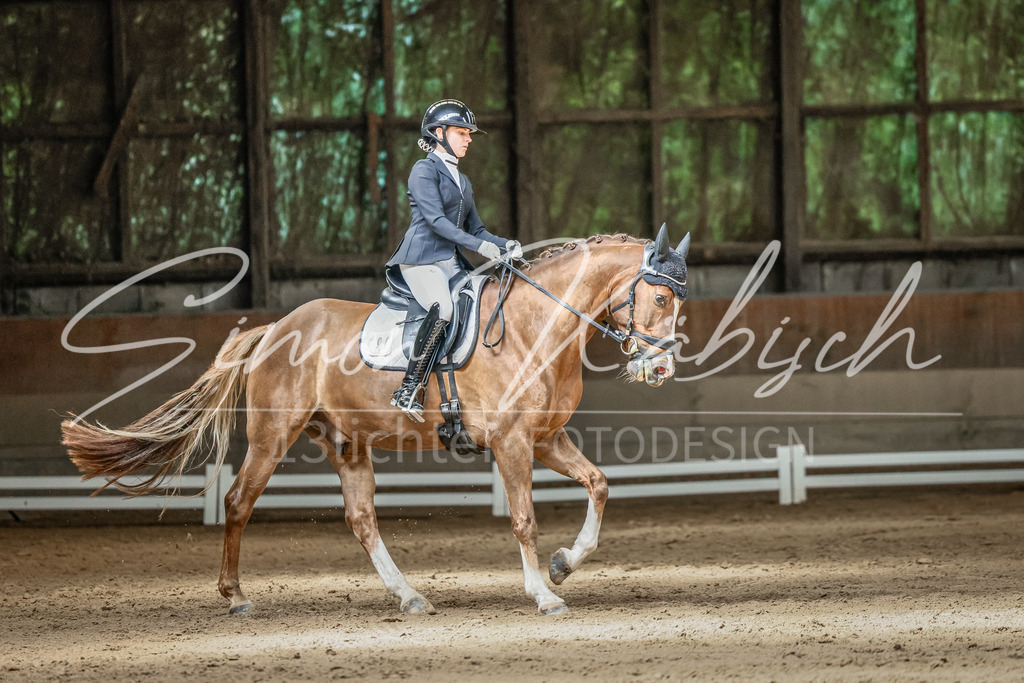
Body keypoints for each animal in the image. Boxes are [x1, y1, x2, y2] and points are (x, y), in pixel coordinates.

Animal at [62, 227, 689, 616]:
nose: (659, 368)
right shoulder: (513, 443)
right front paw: (545, 594)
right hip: (272, 435)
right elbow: (523, 520)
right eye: (659, 298)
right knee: (239, 502)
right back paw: (236, 596)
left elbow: (599, 485)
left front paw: (563, 565)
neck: (537, 325)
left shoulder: (546, 439)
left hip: (347, 442)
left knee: (362, 519)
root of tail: (275, 327)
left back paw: (409, 596)